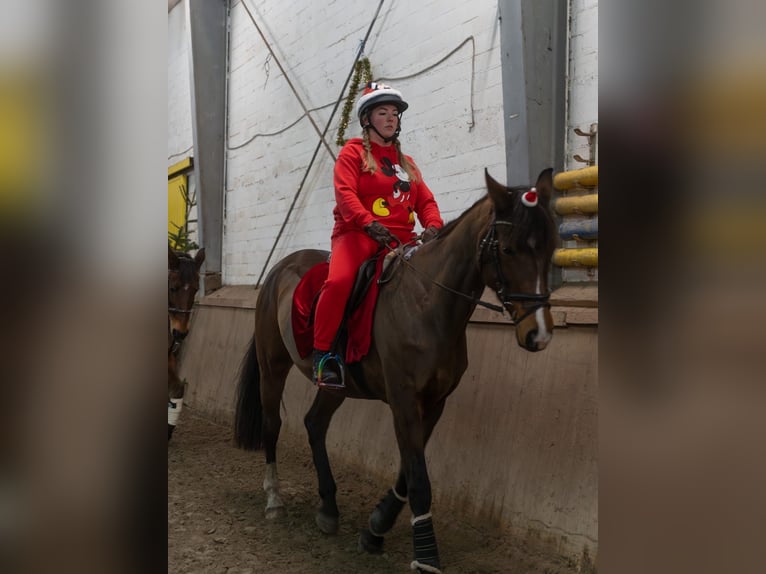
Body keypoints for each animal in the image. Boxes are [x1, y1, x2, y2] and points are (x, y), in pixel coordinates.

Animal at [233, 168, 556, 573]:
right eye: (509, 249)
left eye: (551, 248)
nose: (538, 334)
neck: (427, 304)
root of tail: (279, 269)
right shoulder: (403, 401)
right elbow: (418, 478)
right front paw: (426, 556)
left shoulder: (433, 403)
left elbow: (406, 472)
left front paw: (375, 528)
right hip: (273, 365)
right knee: (272, 423)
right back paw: (274, 498)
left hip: (336, 386)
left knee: (315, 424)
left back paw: (329, 507)